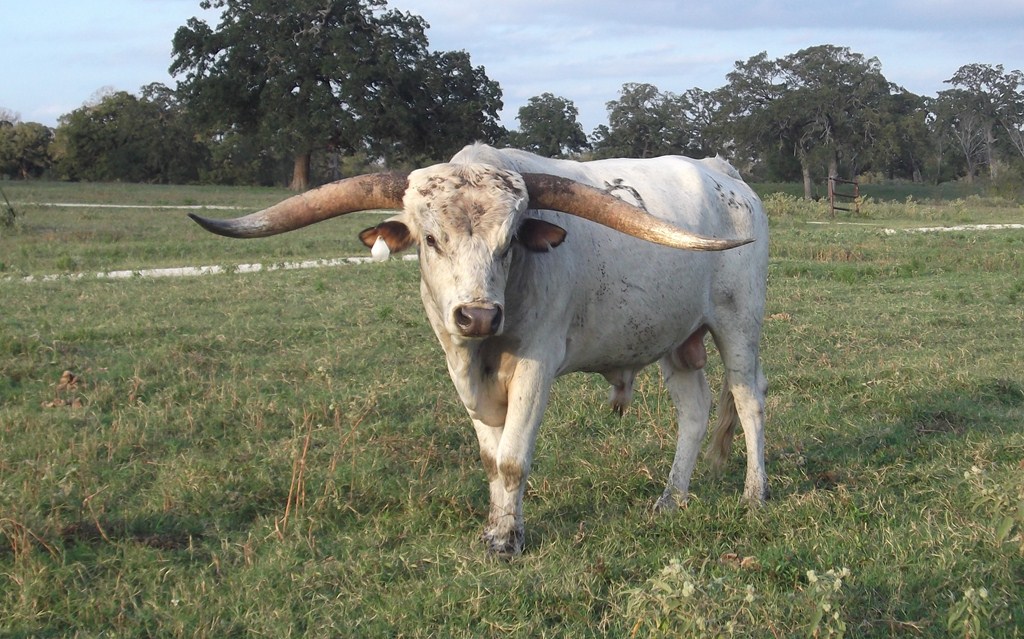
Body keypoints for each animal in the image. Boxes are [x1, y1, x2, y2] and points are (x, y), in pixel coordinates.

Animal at [190, 143, 769, 558]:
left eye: (509, 241)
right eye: (429, 239)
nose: (478, 315)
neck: (486, 348)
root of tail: (725, 175)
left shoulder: (537, 365)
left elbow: (512, 459)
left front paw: (507, 542)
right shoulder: (459, 368)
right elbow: (491, 460)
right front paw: (495, 528)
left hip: (739, 322)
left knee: (748, 401)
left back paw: (754, 494)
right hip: (675, 338)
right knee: (694, 411)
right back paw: (670, 499)